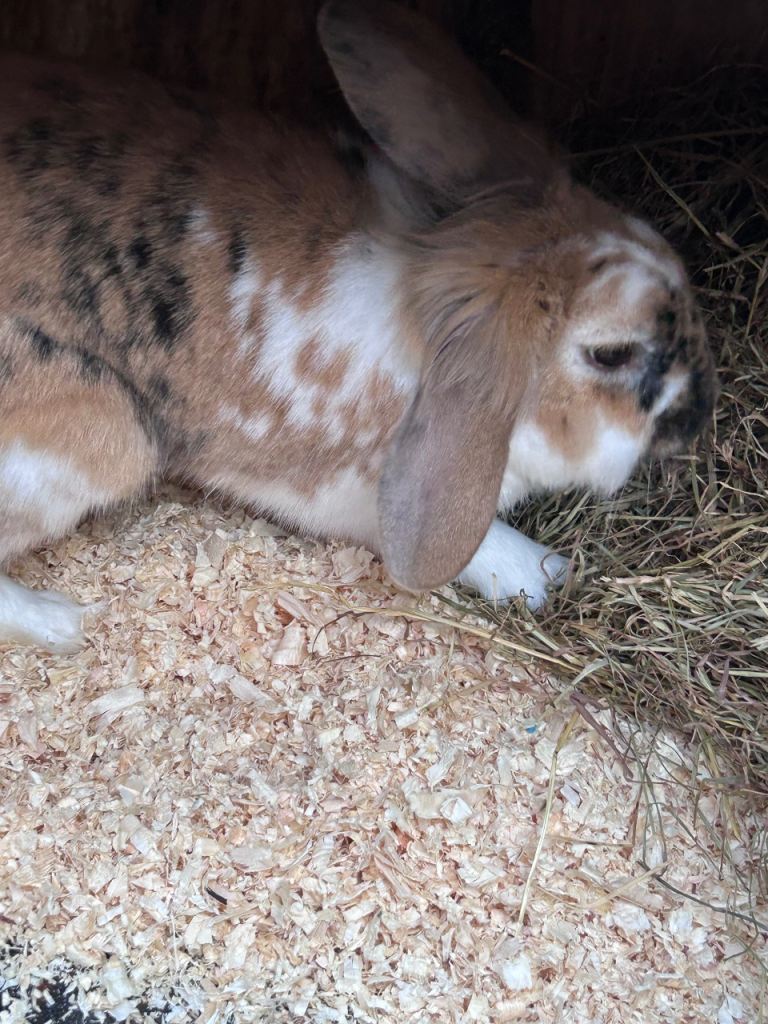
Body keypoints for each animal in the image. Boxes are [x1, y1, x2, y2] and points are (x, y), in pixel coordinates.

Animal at [0, 0, 717, 653]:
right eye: (611, 353)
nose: (701, 413)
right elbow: (475, 542)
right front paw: (545, 575)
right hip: (101, 436)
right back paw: (62, 624)